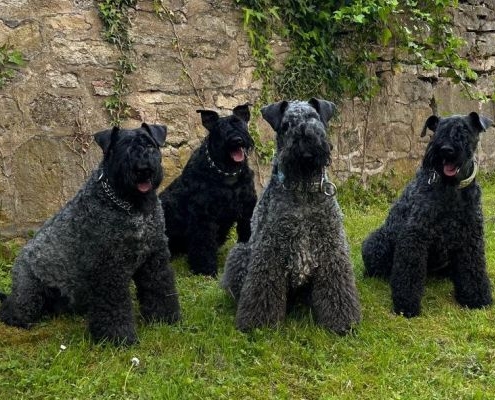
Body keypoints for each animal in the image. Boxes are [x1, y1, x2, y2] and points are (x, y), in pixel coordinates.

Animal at [161, 104, 258, 276]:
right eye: (219, 128)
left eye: (239, 122)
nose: (237, 140)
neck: (226, 172)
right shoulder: (203, 215)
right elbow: (204, 243)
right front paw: (205, 270)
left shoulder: (247, 210)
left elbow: (247, 232)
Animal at [223, 98, 362, 332]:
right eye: (287, 125)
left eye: (314, 118)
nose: (306, 145)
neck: (303, 190)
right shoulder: (270, 250)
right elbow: (262, 288)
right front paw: (259, 324)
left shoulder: (331, 247)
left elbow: (336, 284)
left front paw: (342, 321)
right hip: (241, 251)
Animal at [362, 111, 494, 318]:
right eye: (437, 129)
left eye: (464, 129)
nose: (446, 150)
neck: (451, 190)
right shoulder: (415, 235)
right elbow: (409, 273)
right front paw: (406, 305)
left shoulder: (471, 236)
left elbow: (474, 268)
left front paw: (478, 298)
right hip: (375, 242)